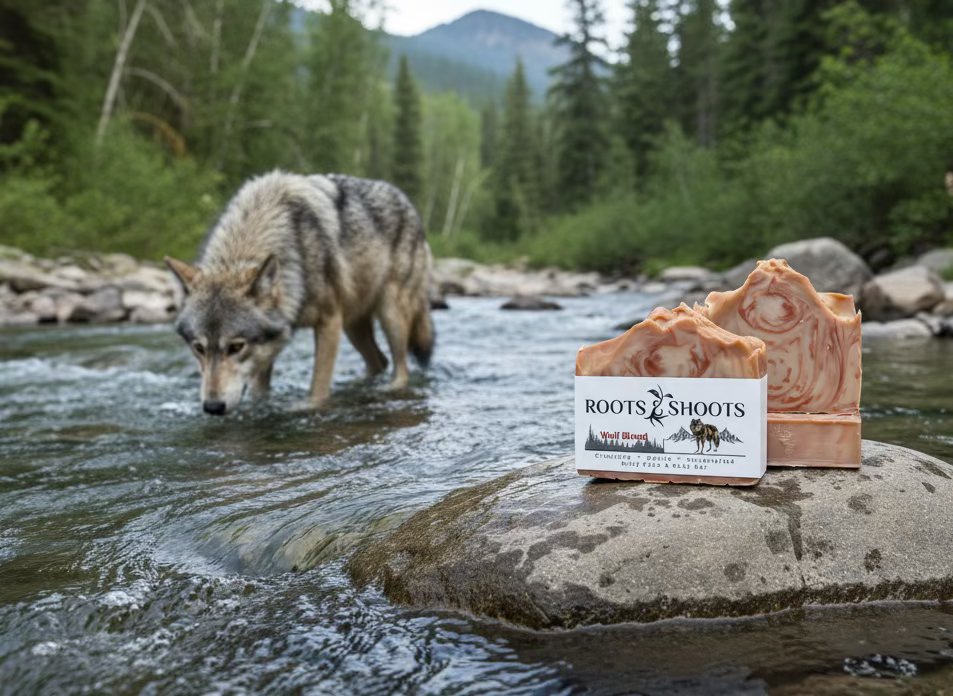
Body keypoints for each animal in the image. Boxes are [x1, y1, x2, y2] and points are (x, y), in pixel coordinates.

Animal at [165, 170, 434, 416]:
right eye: (199, 348)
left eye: (236, 347)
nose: (212, 407)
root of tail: (407, 200)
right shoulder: (271, 346)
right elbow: (259, 393)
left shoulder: (329, 322)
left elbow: (319, 383)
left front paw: (308, 408)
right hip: (353, 326)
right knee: (379, 361)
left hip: (390, 315)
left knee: (401, 368)